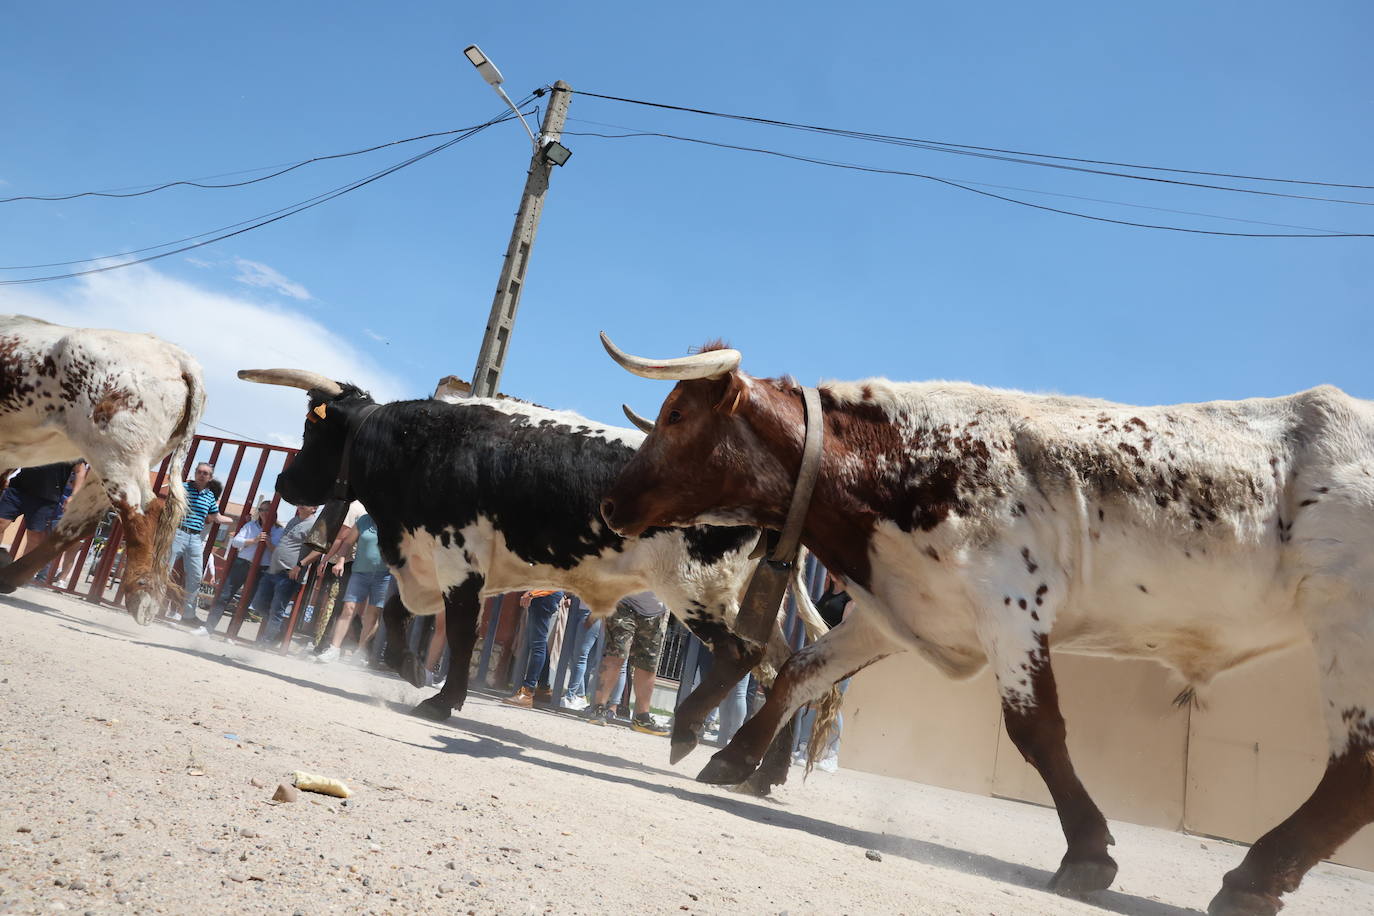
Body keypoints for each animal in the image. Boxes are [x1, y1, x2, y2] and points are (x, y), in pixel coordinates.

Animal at [0, 315, 203, 623]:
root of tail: (176, 355)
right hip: (112, 461)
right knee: (78, 524)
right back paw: (8, 576)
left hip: (117, 453)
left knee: (143, 510)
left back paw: (143, 592)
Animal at [236, 368, 824, 791]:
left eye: (314, 430)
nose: (284, 482)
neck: (417, 443)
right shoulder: (440, 565)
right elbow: (401, 614)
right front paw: (408, 667)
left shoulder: (458, 563)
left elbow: (459, 633)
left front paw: (442, 699)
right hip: (744, 600)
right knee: (786, 669)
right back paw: (757, 772)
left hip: (696, 590)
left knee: (742, 656)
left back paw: (690, 736)